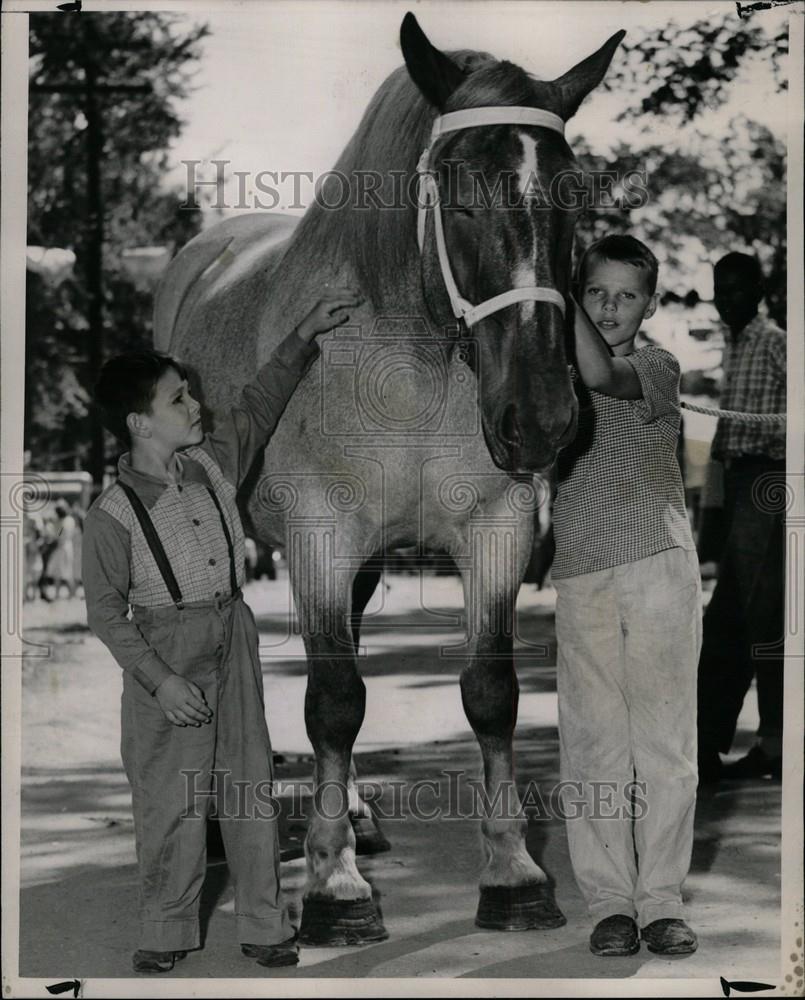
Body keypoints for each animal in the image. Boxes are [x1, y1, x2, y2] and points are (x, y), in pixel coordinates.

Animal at [155, 11, 620, 940]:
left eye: (573, 197)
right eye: (462, 193)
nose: (541, 418)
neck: (415, 367)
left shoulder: (496, 528)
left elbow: (490, 690)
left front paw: (513, 874)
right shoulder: (319, 538)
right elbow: (333, 699)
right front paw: (334, 890)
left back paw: (358, 817)